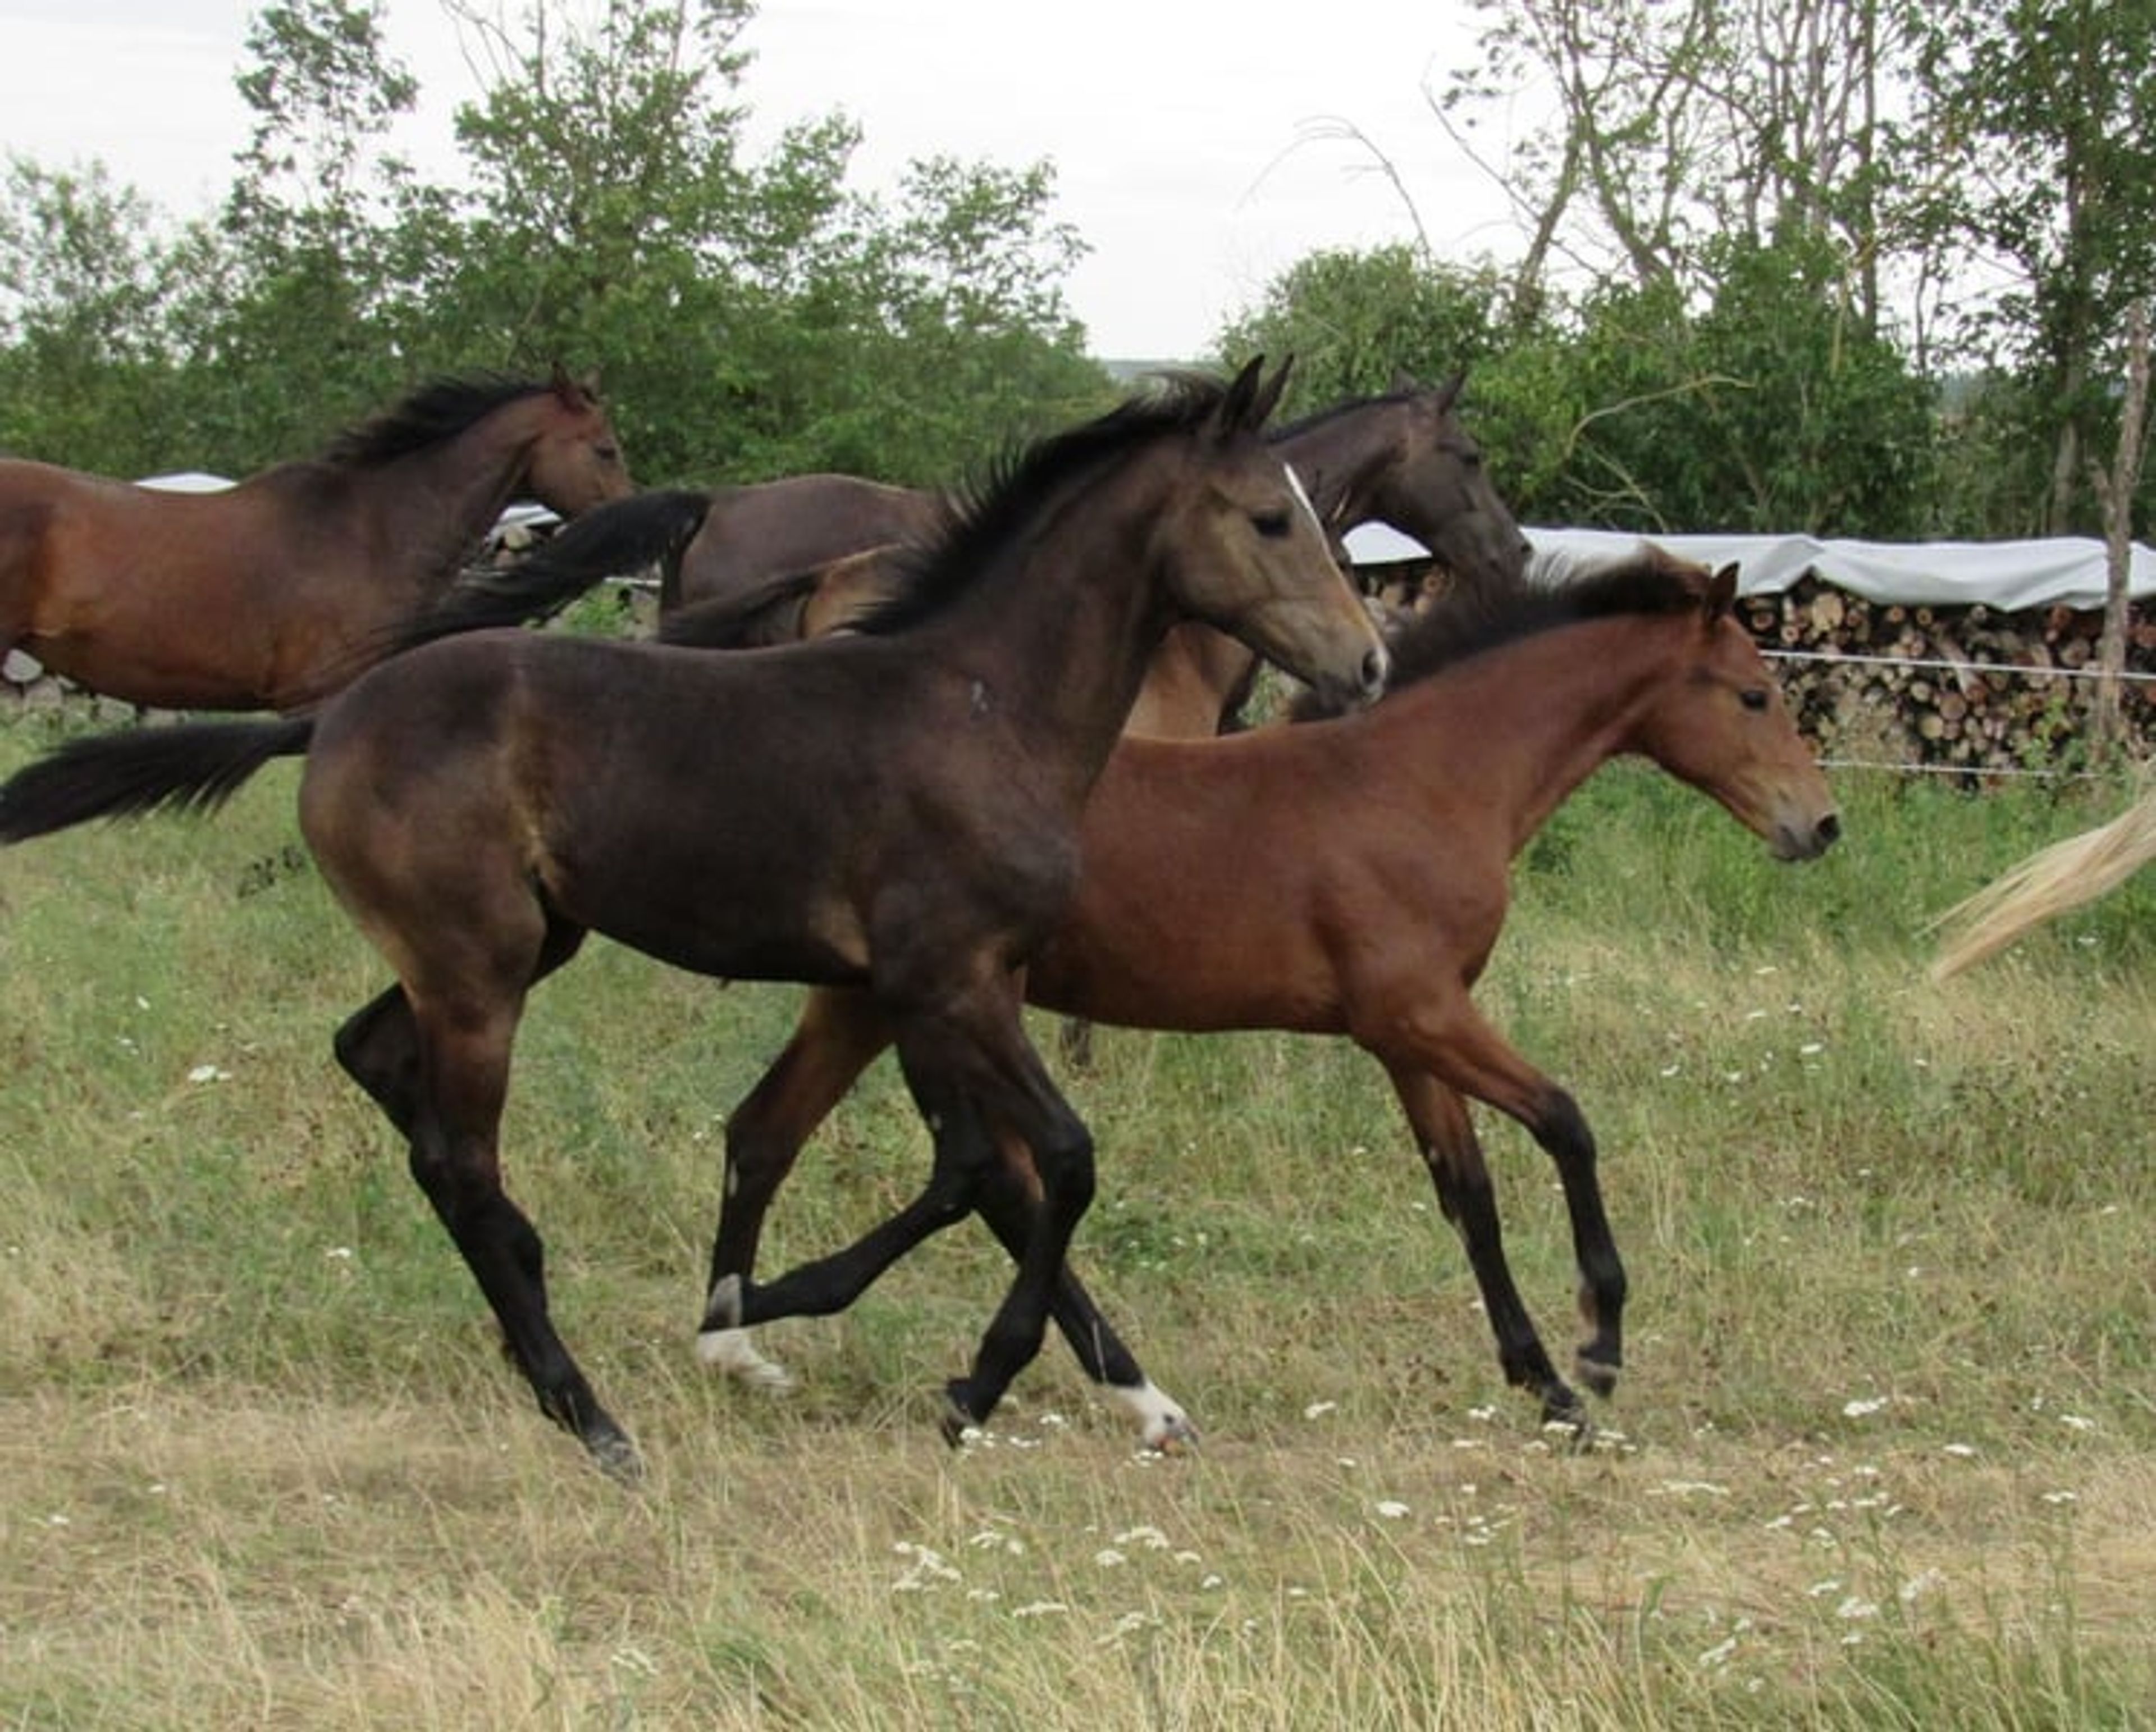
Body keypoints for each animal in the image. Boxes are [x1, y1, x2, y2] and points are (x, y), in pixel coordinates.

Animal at [691, 545, 1842, 1443]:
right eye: (1753, 695)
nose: (1821, 824)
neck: (1425, 781)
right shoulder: (1419, 1013)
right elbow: (1566, 1122)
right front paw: (1598, 1342)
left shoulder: (1409, 1037)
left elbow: (1467, 1194)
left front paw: (1544, 1381)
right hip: (941, 1005)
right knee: (975, 1173)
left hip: (872, 1001)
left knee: (794, 1138)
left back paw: (754, 1314)